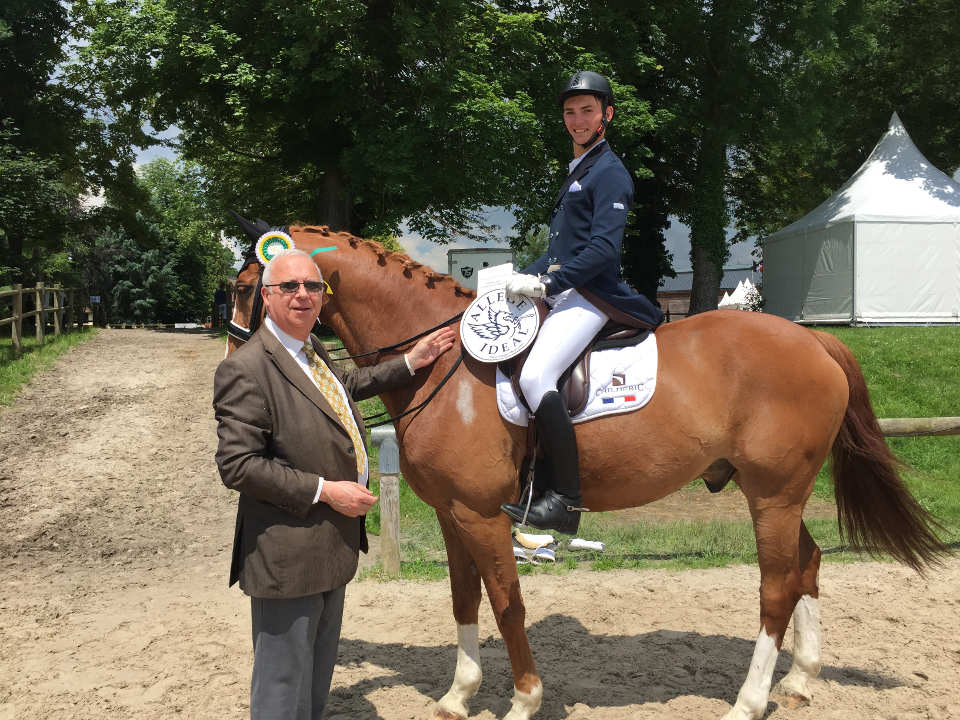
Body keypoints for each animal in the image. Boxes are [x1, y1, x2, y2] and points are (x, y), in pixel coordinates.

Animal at [225, 221, 944, 720]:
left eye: (244, 287)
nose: (235, 367)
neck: (443, 368)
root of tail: (813, 338)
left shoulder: (483, 514)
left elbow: (507, 602)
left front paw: (524, 700)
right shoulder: (454, 515)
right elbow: (464, 600)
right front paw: (459, 695)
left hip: (773, 493)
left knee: (776, 587)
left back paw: (747, 701)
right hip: (775, 492)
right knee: (808, 564)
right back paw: (797, 682)